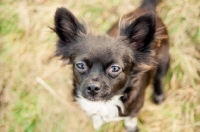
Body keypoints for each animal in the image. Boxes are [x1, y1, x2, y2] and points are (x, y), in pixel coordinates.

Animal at [52, 0, 169, 131]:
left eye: (115, 68)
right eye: (80, 65)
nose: (92, 87)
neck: (105, 103)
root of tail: (146, 7)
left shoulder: (135, 109)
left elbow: (131, 119)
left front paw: (131, 127)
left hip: (163, 61)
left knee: (159, 77)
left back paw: (159, 95)